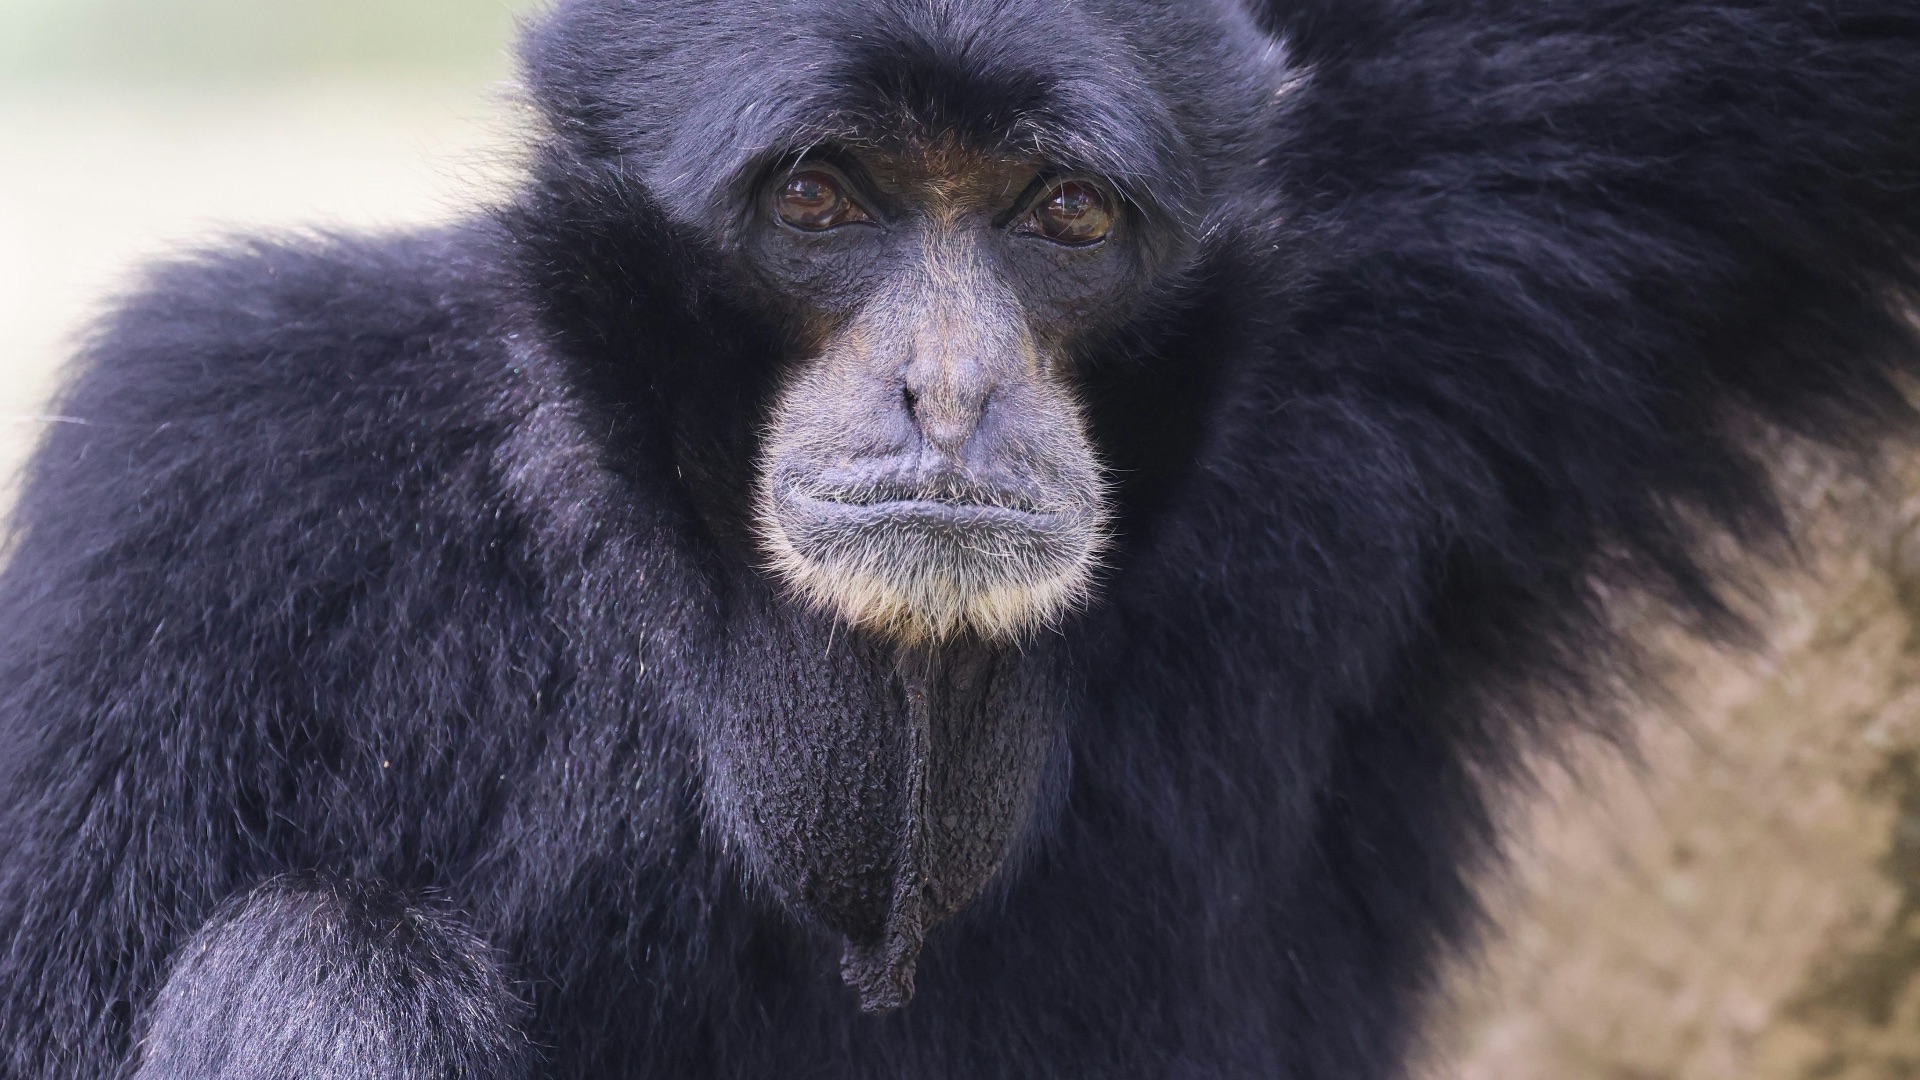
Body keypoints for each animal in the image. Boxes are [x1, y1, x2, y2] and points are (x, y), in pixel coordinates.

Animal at [1, 0, 1918, 1076]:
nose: (948, 392)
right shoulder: (198, 483)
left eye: (1061, 215)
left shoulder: (1409, 289)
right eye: (819, 197)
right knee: (323, 963)